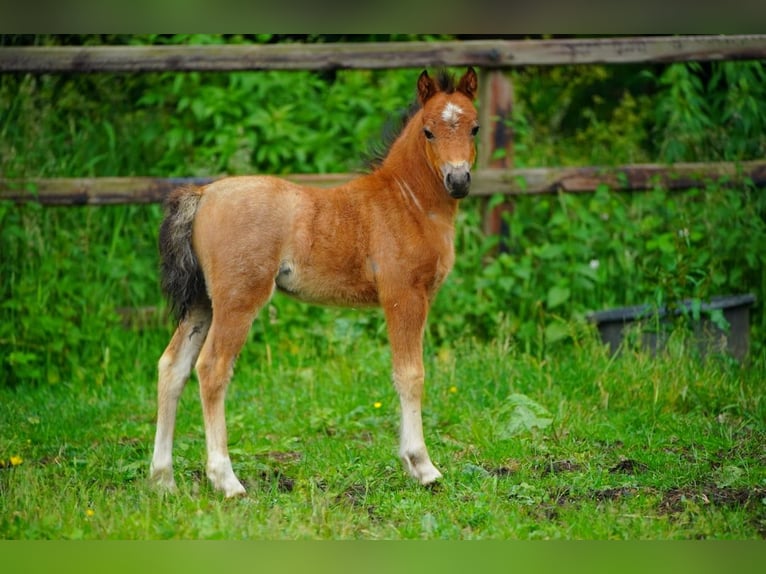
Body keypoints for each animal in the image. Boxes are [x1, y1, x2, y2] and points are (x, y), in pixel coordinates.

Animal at [149, 67, 479, 497]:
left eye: (475, 127)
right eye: (428, 131)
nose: (458, 180)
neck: (407, 202)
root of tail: (203, 194)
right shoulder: (403, 295)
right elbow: (410, 374)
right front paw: (422, 466)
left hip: (202, 302)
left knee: (172, 367)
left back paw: (163, 479)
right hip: (238, 300)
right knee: (212, 369)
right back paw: (226, 480)